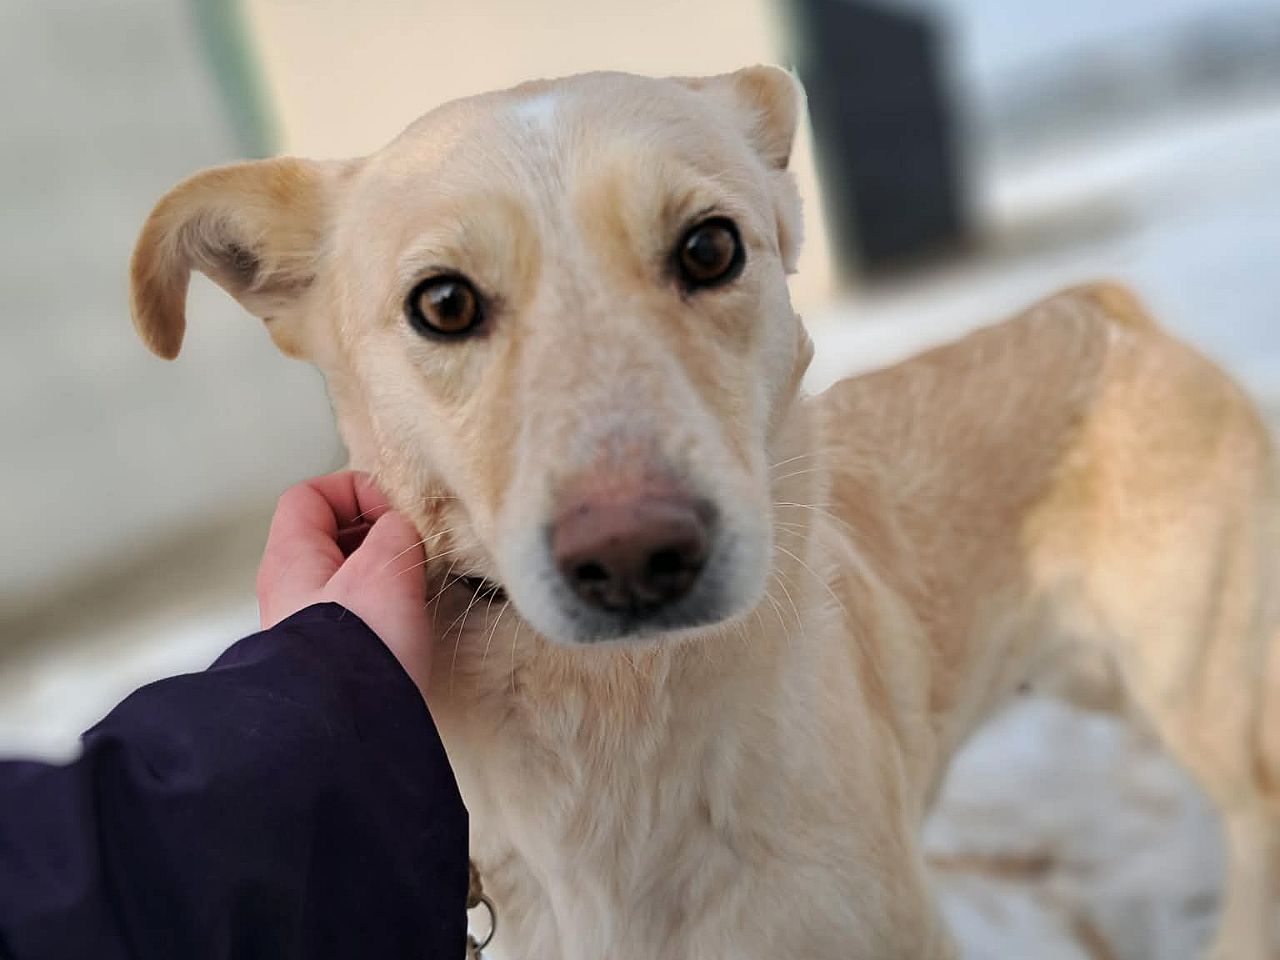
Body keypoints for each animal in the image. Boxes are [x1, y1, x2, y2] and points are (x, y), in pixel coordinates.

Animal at [128, 66, 1279, 959]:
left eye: (710, 249)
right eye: (443, 304)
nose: (634, 555)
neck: (612, 732)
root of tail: (1102, 308)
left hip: (1193, 688)